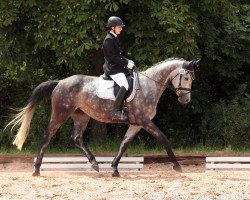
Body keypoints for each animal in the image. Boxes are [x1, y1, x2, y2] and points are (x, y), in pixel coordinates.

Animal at [5, 57, 199, 177]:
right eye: (186, 77)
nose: (186, 100)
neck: (148, 86)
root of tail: (60, 82)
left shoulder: (137, 123)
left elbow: (124, 144)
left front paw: (114, 169)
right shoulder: (145, 122)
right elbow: (163, 139)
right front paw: (177, 166)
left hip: (81, 116)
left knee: (76, 138)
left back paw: (94, 163)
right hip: (61, 114)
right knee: (47, 136)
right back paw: (37, 169)